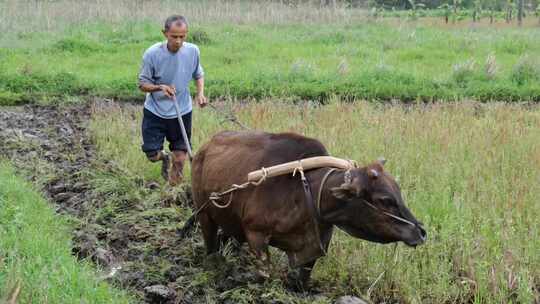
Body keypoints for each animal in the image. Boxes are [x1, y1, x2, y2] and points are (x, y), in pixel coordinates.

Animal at [190, 129, 426, 288]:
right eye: (385, 200)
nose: (421, 231)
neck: (307, 192)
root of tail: (205, 147)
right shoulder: (256, 234)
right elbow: (265, 274)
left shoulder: (316, 246)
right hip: (204, 213)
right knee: (210, 243)